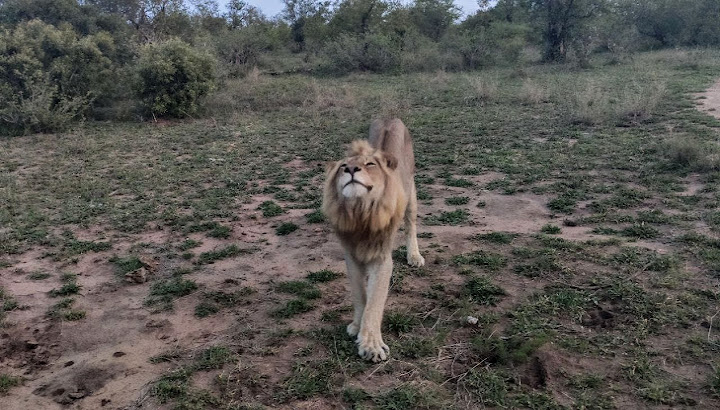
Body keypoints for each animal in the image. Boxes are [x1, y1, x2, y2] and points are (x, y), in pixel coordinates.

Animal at [324, 118, 424, 362]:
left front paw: (371, 345)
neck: (361, 212)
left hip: (411, 191)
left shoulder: (381, 258)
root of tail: (391, 117)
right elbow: (360, 295)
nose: (350, 169)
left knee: (411, 225)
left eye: (370, 164)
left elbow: (375, 300)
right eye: (343, 166)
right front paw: (356, 326)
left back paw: (414, 256)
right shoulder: (351, 256)